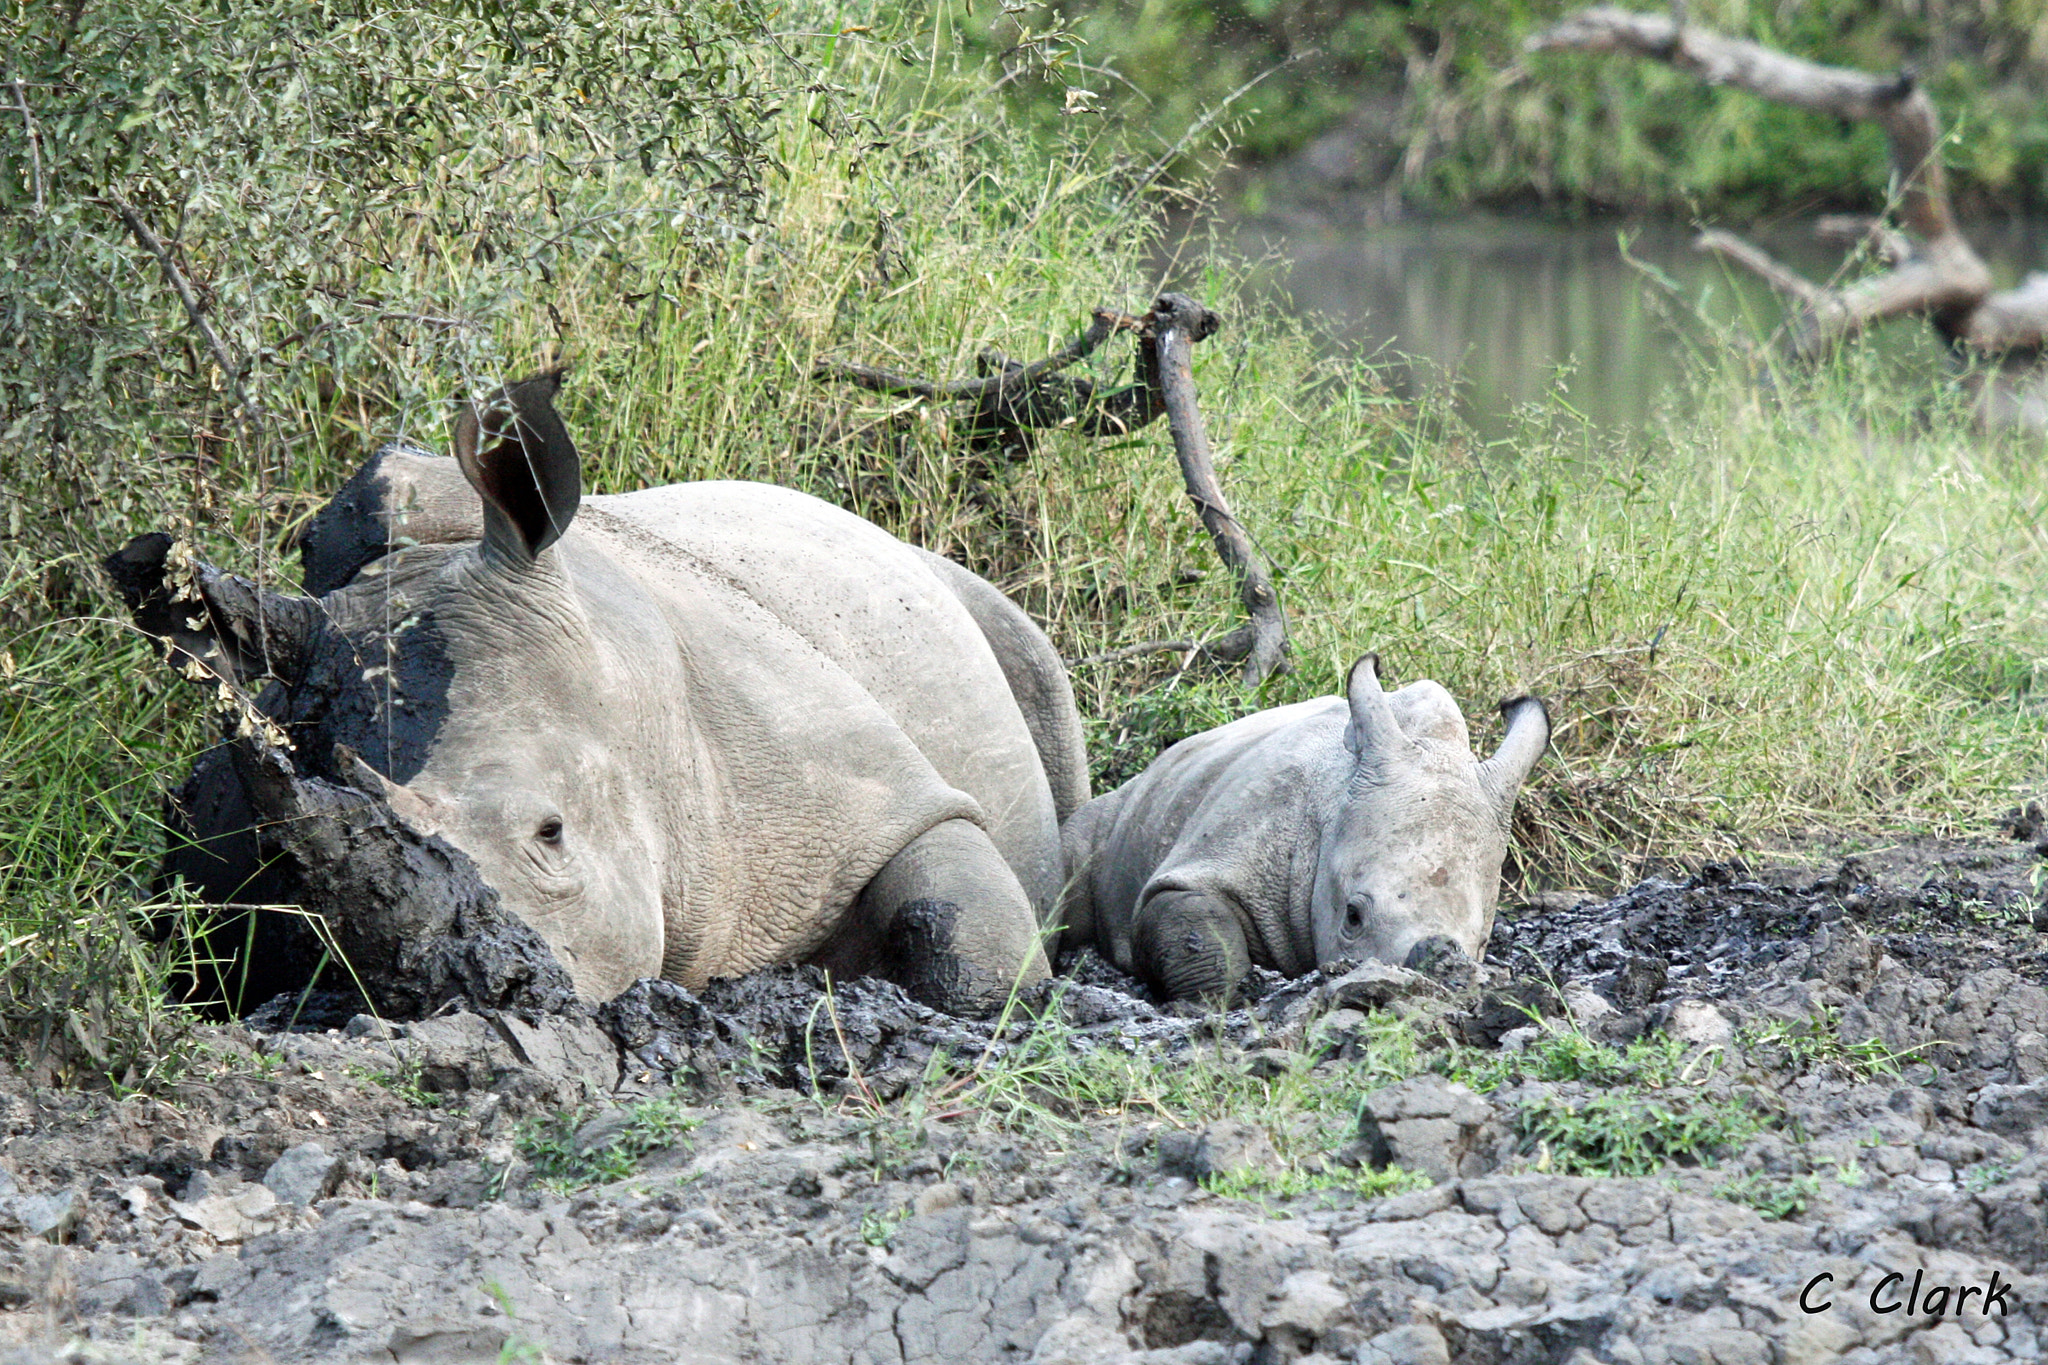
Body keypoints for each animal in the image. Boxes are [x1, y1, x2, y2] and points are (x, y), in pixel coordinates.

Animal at [109, 371, 1088, 1017]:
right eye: (285, 870)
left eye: (552, 834)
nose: (459, 988)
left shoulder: (874, 789)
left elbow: (966, 939)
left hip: (955, 597)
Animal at [1056, 657, 1549, 1000]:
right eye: (1352, 916)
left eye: (1482, 942)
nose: (1429, 968)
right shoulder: (1221, 852)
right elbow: (1195, 925)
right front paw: (1218, 1003)